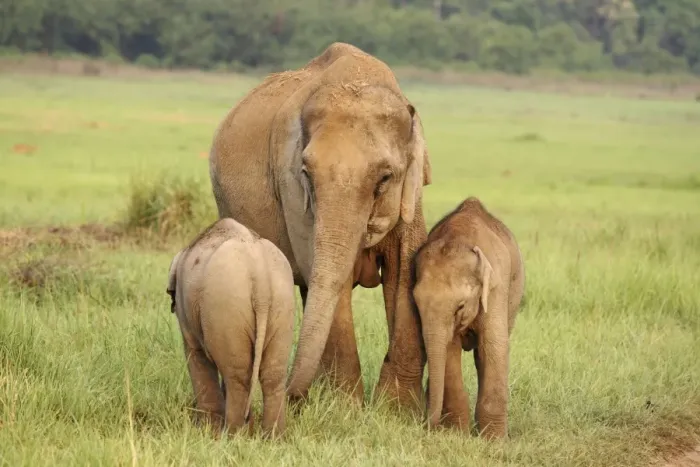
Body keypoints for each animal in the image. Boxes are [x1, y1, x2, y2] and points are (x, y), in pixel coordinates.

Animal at [166, 218, 296, 438]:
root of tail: (259, 270)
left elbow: (196, 355)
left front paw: (207, 431)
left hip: (225, 303)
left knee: (237, 375)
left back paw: (234, 435)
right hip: (282, 302)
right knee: (273, 374)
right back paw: (273, 437)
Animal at [208, 42, 432, 409]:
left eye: (385, 178)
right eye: (306, 174)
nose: (286, 395)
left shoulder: (410, 200)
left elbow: (404, 270)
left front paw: (396, 412)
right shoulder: (292, 191)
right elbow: (323, 273)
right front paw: (345, 409)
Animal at [411, 197, 525, 440]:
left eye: (460, 306)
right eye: (416, 304)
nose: (427, 427)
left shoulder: (496, 288)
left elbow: (494, 345)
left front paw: (494, 441)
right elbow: (449, 349)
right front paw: (456, 433)